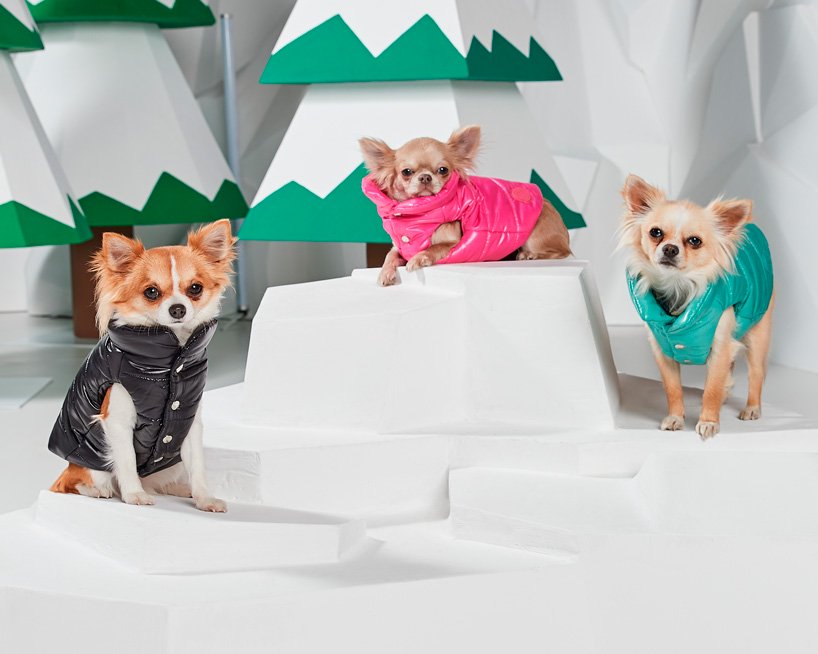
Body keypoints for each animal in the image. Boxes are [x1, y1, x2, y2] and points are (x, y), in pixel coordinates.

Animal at [48, 219, 236, 511]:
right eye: (151, 292)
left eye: (195, 288)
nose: (178, 309)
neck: (168, 362)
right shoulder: (116, 422)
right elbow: (126, 461)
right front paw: (134, 495)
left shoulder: (187, 423)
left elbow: (198, 467)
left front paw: (204, 498)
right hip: (92, 462)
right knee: (75, 483)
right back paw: (99, 490)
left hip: (170, 463)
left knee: (160, 482)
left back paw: (181, 489)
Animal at [359, 125, 572, 286]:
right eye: (406, 172)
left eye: (443, 170)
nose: (426, 177)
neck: (419, 214)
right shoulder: (400, 248)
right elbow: (390, 256)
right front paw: (385, 272)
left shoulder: (452, 242)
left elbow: (432, 248)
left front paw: (418, 259)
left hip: (536, 237)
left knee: (562, 252)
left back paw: (528, 255)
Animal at [619, 175, 774, 440]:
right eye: (655, 233)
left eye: (695, 241)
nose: (670, 248)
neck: (678, 288)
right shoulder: (664, 350)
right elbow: (673, 389)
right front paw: (675, 417)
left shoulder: (720, 346)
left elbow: (711, 388)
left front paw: (708, 421)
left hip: (757, 333)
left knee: (756, 374)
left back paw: (752, 408)